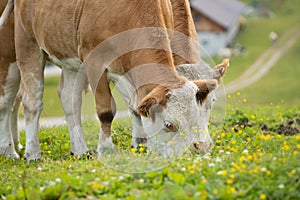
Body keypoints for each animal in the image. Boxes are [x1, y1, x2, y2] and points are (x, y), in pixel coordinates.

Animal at [0, 0, 227, 160]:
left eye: (211, 103)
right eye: (169, 124)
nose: (201, 147)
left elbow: (136, 105)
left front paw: (140, 143)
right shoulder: (94, 59)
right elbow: (106, 111)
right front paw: (107, 149)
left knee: (69, 100)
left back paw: (79, 149)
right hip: (22, 44)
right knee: (20, 101)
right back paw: (22, 152)